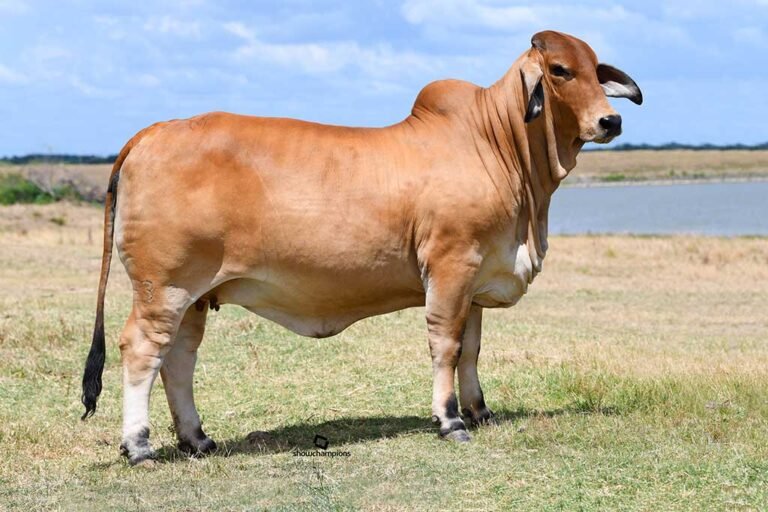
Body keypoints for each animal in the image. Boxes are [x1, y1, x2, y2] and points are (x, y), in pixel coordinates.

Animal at [81, 30, 641, 464]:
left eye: (597, 71)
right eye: (560, 70)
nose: (611, 121)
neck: (501, 147)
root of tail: (153, 132)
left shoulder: (477, 276)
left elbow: (472, 348)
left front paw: (480, 410)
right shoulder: (451, 266)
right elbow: (446, 344)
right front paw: (450, 420)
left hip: (194, 296)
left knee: (179, 359)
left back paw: (197, 439)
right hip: (163, 287)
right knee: (142, 352)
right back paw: (139, 445)